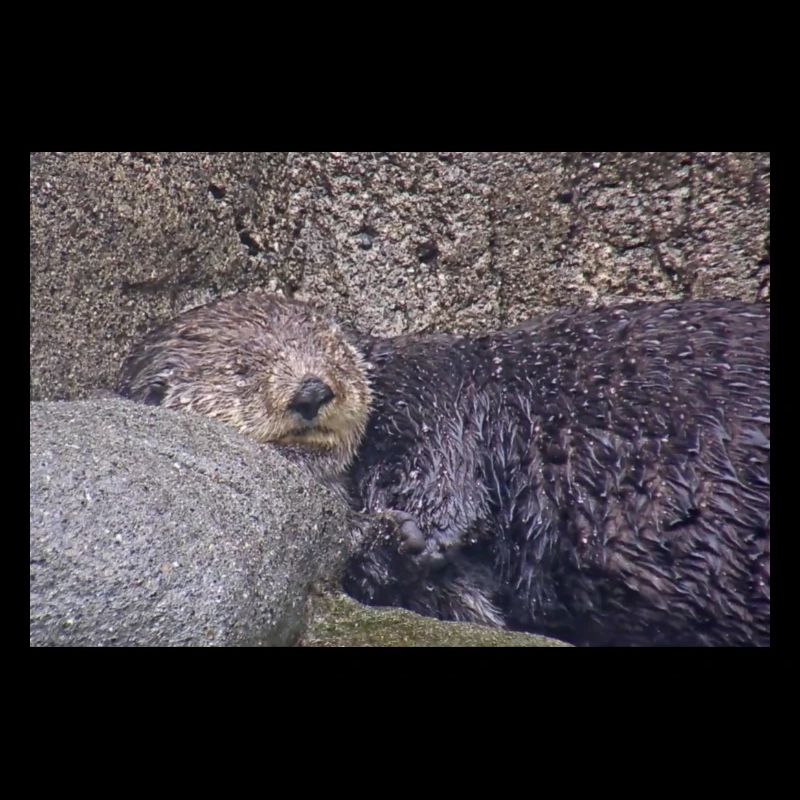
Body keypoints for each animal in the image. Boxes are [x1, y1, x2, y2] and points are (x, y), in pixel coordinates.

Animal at [118, 294, 770, 646]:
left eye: (331, 353)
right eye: (243, 368)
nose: (313, 390)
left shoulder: (424, 383)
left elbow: (440, 452)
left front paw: (415, 529)